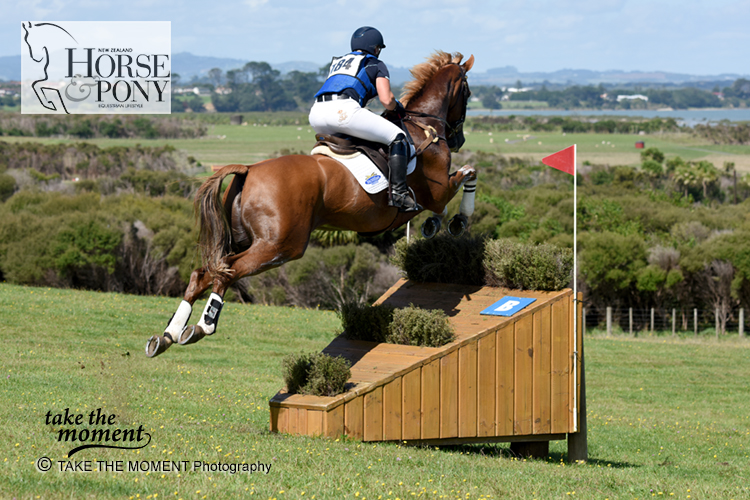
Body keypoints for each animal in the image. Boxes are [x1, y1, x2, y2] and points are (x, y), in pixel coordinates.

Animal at [145, 50, 476, 358]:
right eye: (468, 92)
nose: (458, 139)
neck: (423, 127)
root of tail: (248, 169)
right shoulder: (437, 189)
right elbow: (468, 174)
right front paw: (459, 220)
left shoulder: (434, 195)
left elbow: (446, 199)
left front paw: (434, 224)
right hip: (280, 246)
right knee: (225, 272)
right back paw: (202, 327)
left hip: (243, 240)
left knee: (202, 273)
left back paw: (167, 336)